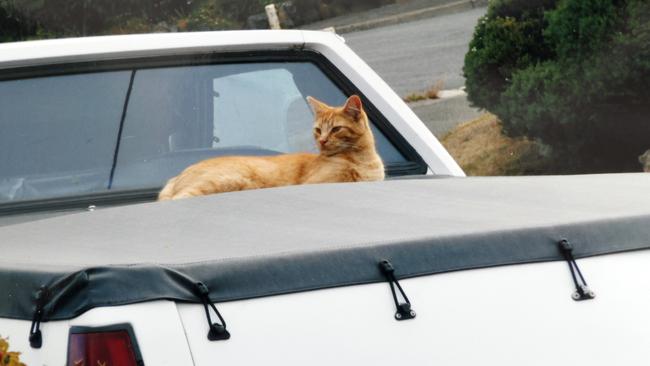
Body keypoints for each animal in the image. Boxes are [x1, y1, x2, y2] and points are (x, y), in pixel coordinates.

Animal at [156, 94, 382, 200]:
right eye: (318, 130)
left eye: (335, 129)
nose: (322, 141)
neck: (362, 160)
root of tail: (175, 176)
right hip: (222, 181)